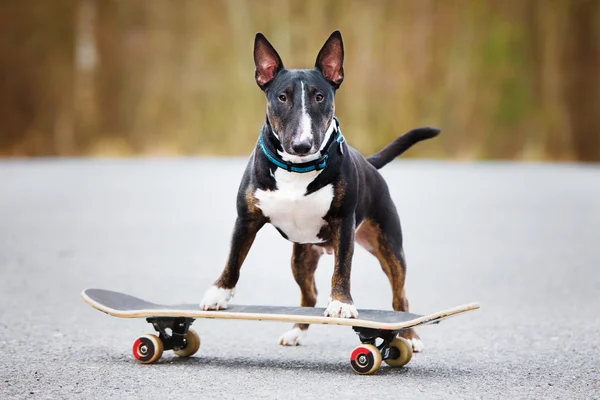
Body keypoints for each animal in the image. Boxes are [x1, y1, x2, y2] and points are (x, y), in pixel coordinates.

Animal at [199, 29, 438, 352]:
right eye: (282, 97)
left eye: (320, 96)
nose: (302, 144)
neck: (297, 169)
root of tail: (369, 163)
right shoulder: (246, 219)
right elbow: (234, 259)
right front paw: (218, 294)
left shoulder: (343, 224)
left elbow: (342, 269)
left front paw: (341, 304)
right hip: (302, 256)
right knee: (308, 294)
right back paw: (296, 332)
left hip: (389, 246)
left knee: (400, 297)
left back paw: (410, 337)